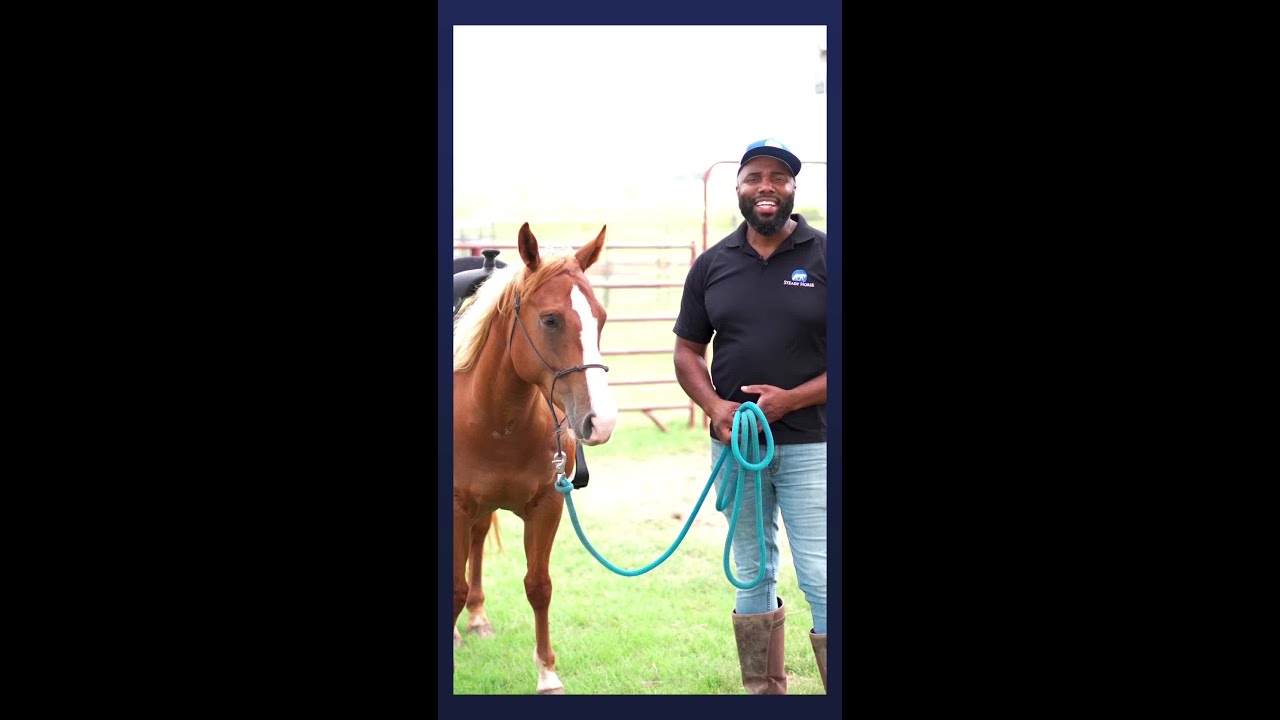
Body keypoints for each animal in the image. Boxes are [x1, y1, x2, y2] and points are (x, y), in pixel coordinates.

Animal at [452, 222, 617, 695]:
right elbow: (451, 588)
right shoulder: (455, 506)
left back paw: (477, 619)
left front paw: (547, 674)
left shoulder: (548, 504)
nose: (601, 421)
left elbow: (539, 586)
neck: (495, 418)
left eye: (600, 318)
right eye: (550, 319)